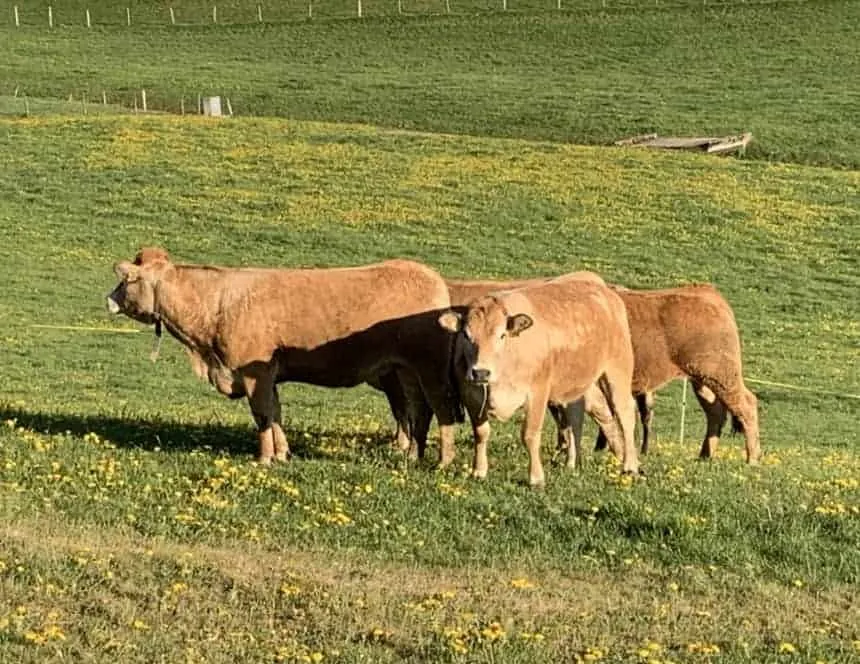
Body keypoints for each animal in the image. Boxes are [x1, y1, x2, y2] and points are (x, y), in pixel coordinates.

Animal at [106, 248, 462, 464]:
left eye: (127, 280)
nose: (108, 299)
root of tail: (431, 277)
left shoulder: (255, 373)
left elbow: (263, 414)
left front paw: (263, 459)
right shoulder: (269, 376)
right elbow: (276, 412)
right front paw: (281, 453)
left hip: (429, 368)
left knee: (440, 408)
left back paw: (443, 460)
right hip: (403, 371)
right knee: (417, 410)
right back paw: (411, 454)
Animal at [438, 273, 640, 487]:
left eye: (502, 335)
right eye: (466, 335)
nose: (481, 372)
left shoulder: (537, 393)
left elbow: (530, 434)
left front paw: (536, 478)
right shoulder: (471, 396)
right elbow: (481, 433)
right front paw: (479, 471)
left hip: (617, 370)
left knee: (625, 414)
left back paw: (630, 466)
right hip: (573, 383)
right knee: (576, 416)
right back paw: (571, 463)